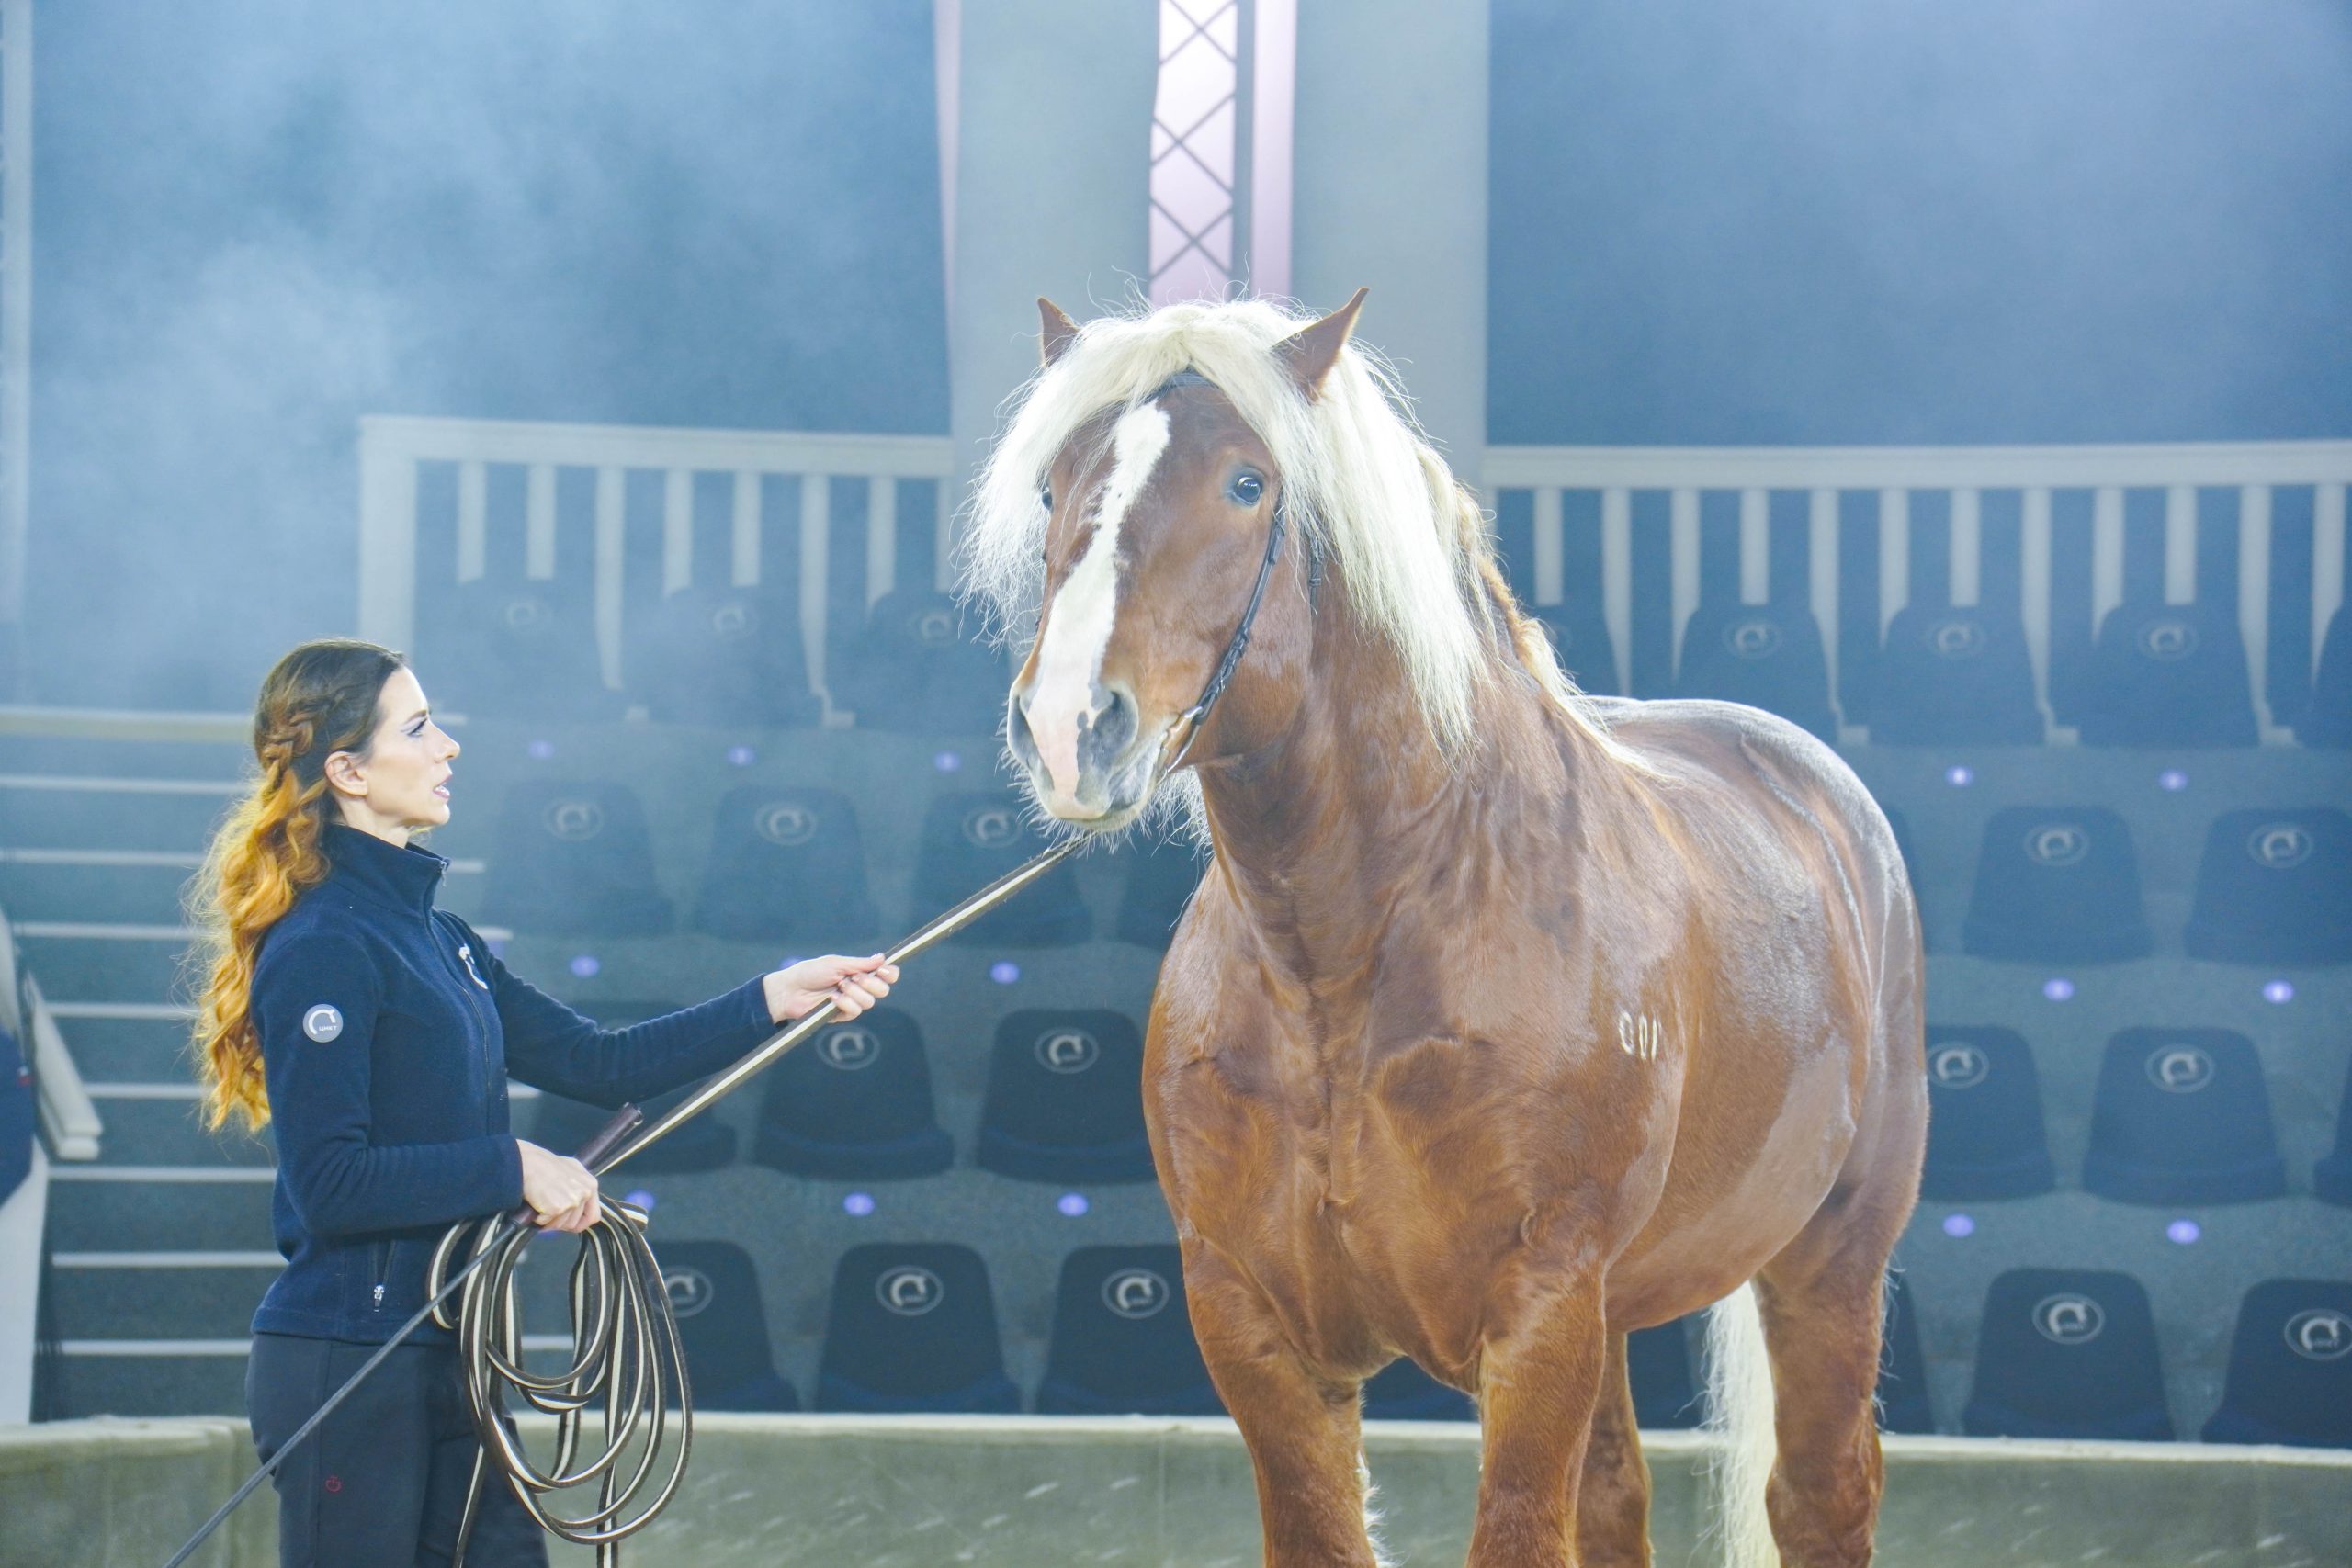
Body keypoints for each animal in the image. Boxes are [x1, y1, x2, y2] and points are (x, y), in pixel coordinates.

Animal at [959, 293, 1928, 1568]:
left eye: (1247, 483)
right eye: (1052, 486)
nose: (1072, 728)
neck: (1341, 964)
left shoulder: (1538, 1313)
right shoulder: (1255, 1326)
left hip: (1828, 1265)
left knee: (1819, 1496)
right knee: (1616, 1501)